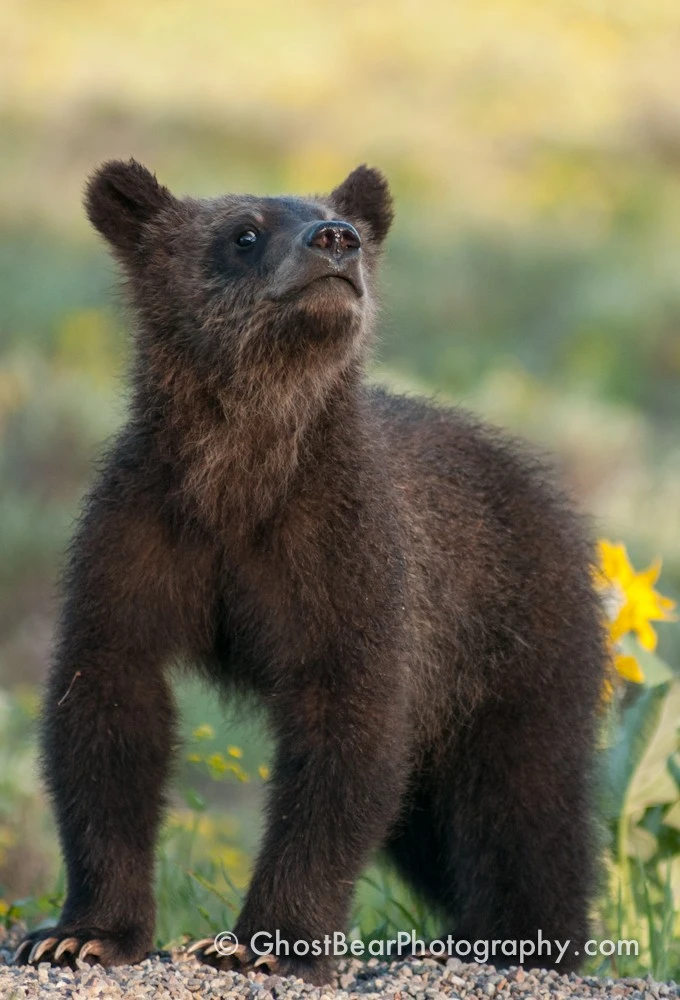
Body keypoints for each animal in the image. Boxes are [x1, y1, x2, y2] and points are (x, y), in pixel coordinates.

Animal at [14, 160, 604, 988]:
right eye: (245, 232)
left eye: (338, 218)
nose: (336, 239)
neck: (240, 471)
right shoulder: (144, 536)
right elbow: (106, 705)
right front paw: (81, 934)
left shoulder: (340, 555)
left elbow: (342, 739)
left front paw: (262, 944)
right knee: (435, 822)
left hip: (513, 641)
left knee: (520, 802)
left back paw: (510, 938)